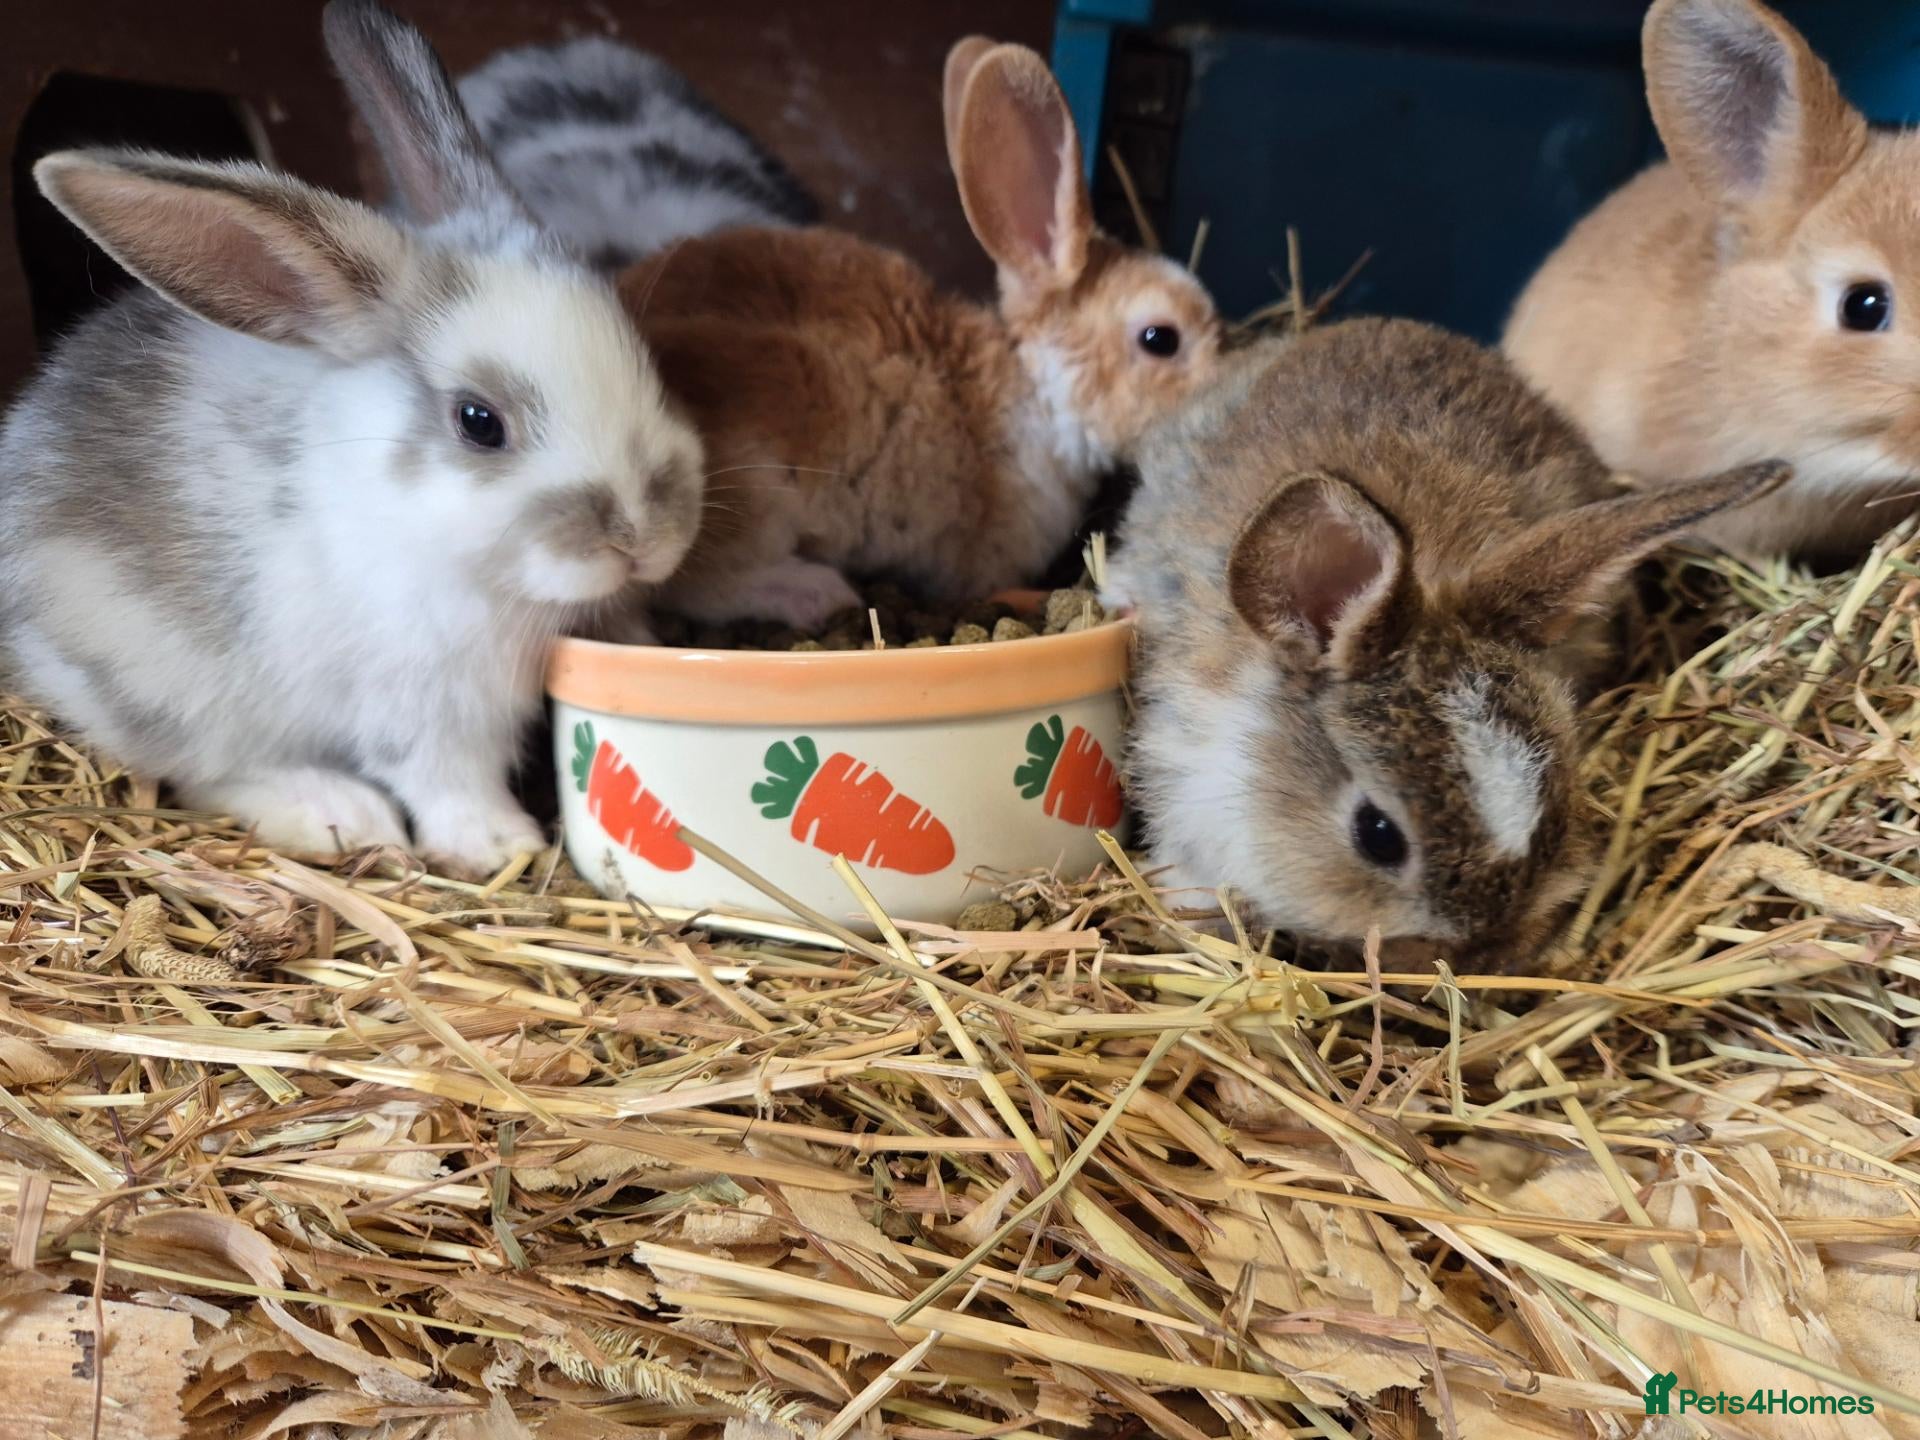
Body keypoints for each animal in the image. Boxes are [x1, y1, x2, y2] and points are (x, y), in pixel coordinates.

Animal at [0, 0, 704, 875]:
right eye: (479, 422)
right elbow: (447, 778)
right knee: (205, 769)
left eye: (644, 359)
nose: (645, 537)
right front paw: (498, 846)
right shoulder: (426, 709)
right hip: (168, 685)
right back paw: (339, 813)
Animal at [612, 36, 1221, 630]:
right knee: (699, 585)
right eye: (1160, 339)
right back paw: (817, 593)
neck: (1039, 392)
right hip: (755, 497)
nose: (1223, 382)